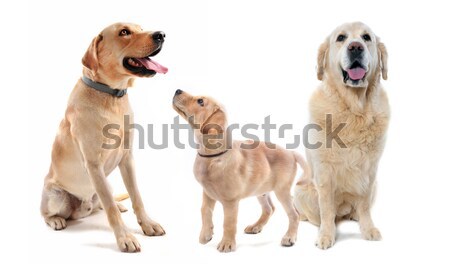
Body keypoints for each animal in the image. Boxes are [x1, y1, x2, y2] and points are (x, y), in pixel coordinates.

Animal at [40, 22, 169, 252]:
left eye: (140, 28)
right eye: (124, 32)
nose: (161, 35)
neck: (111, 96)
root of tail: (81, 210)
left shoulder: (127, 159)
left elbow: (136, 196)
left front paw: (147, 224)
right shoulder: (93, 165)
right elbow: (111, 210)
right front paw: (124, 237)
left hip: (103, 185)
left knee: (102, 201)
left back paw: (117, 203)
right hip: (56, 195)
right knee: (48, 213)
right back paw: (56, 220)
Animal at [172, 89, 310, 253]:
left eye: (200, 101)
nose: (177, 90)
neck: (212, 157)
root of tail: (291, 153)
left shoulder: (230, 201)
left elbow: (228, 222)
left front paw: (227, 243)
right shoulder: (207, 193)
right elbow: (205, 211)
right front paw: (206, 234)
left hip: (281, 190)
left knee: (294, 214)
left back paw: (289, 237)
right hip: (261, 190)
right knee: (269, 208)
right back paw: (256, 226)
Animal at [294, 22, 388, 250]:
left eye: (366, 37)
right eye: (341, 38)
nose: (355, 47)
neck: (354, 110)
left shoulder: (370, 171)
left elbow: (364, 205)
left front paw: (368, 228)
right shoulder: (325, 173)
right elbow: (327, 209)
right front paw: (326, 236)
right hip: (301, 190)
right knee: (317, 214)